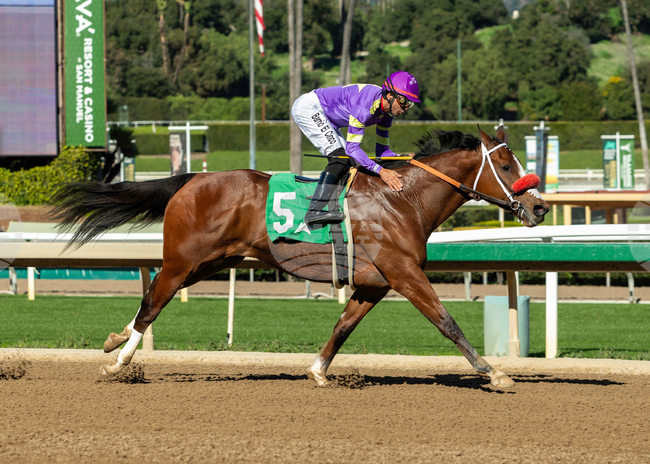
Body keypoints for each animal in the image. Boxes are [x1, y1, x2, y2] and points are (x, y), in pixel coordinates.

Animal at [50, 125, 548, 388]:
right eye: (507, 166)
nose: (540, 207)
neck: (402, 200)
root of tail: (192, 179)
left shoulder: (375, 283)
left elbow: (343, 327)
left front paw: (318, 371)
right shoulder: (403, 272)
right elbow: (447, 322)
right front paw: (493, 372)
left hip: (211, 262)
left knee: (152, 298)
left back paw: (115, 340)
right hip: (184, 260)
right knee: (154, 300)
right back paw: (119, 360)